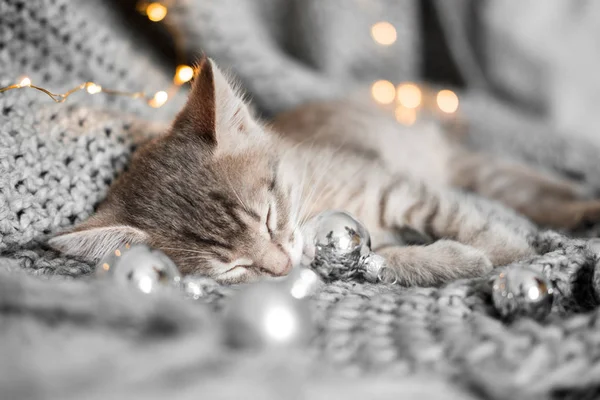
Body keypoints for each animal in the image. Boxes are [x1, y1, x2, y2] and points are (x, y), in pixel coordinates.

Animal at [49, 57, 600, 286]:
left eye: (268, 217)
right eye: (232, 268)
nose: (279, 268)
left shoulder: (393, 183)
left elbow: (463, 218)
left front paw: (512, 257)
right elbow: (382, 258)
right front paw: (454, 261)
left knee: (511, 181)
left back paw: (581, 202)